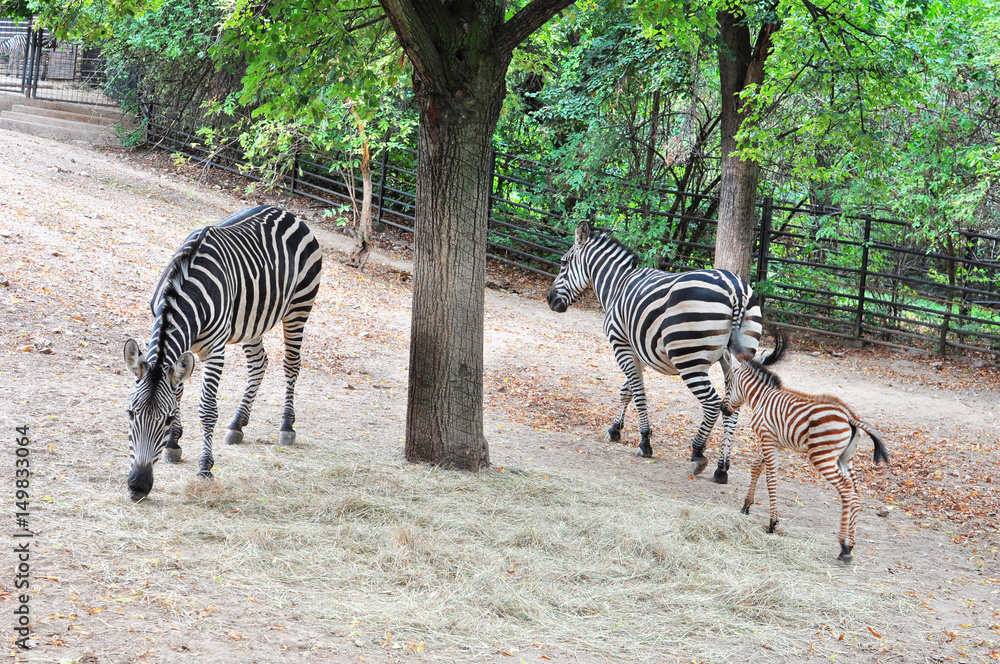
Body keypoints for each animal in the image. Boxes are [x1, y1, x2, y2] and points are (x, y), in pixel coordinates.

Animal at [122, 206, 322, 501]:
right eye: (130, 413)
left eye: (165, 419)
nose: (138, 486)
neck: (184, 290)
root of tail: (288, 212)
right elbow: (178, 394)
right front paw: (173, 443)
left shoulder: (215, 349)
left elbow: (207, 409)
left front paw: (205, 469)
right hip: (252, 321)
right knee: (259, 363)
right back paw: (237, 424)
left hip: (299, 307)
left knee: (291, 364)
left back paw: (287, 427)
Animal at [546, 221, 763, 483]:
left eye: (563, 263)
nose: (549, 300)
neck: (617, 286)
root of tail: (736, 289)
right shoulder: (638, 351)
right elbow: (627, 391)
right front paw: (615, 429)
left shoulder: (621, 345)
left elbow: (639, 394)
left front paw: (645, 442)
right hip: (735, 358)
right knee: (731, 410)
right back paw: (722, 468)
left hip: (689, 359)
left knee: (712, 403)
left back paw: (697, 453)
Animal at [721, 330, 889, 564]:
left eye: (727, 382)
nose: (722, 409)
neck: (762, 398)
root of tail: (849, 416)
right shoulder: (774, 442)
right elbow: (756, 467)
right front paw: (746, 505)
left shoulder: (768, 439)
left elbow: (770, 478)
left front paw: (772, 523)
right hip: (845, 458)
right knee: (855, 493)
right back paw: (850, 546)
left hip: (822, 456)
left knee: (846, 489)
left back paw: (843, 546)